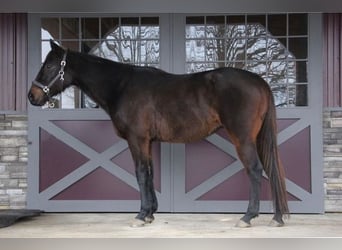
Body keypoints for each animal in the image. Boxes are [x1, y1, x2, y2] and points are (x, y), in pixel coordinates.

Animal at [28, 40, 288, 229]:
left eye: (49, 66)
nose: (32, 96)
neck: (121, 86)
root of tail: (259, 81)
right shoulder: (148, 141)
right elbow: (150, 173)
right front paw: (151, 213)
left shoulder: (137, 139)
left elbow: (141, 174)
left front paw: (141, 215)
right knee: (272, 169)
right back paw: (277, 218)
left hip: (243, 139)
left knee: (255, 170)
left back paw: (247, 217)